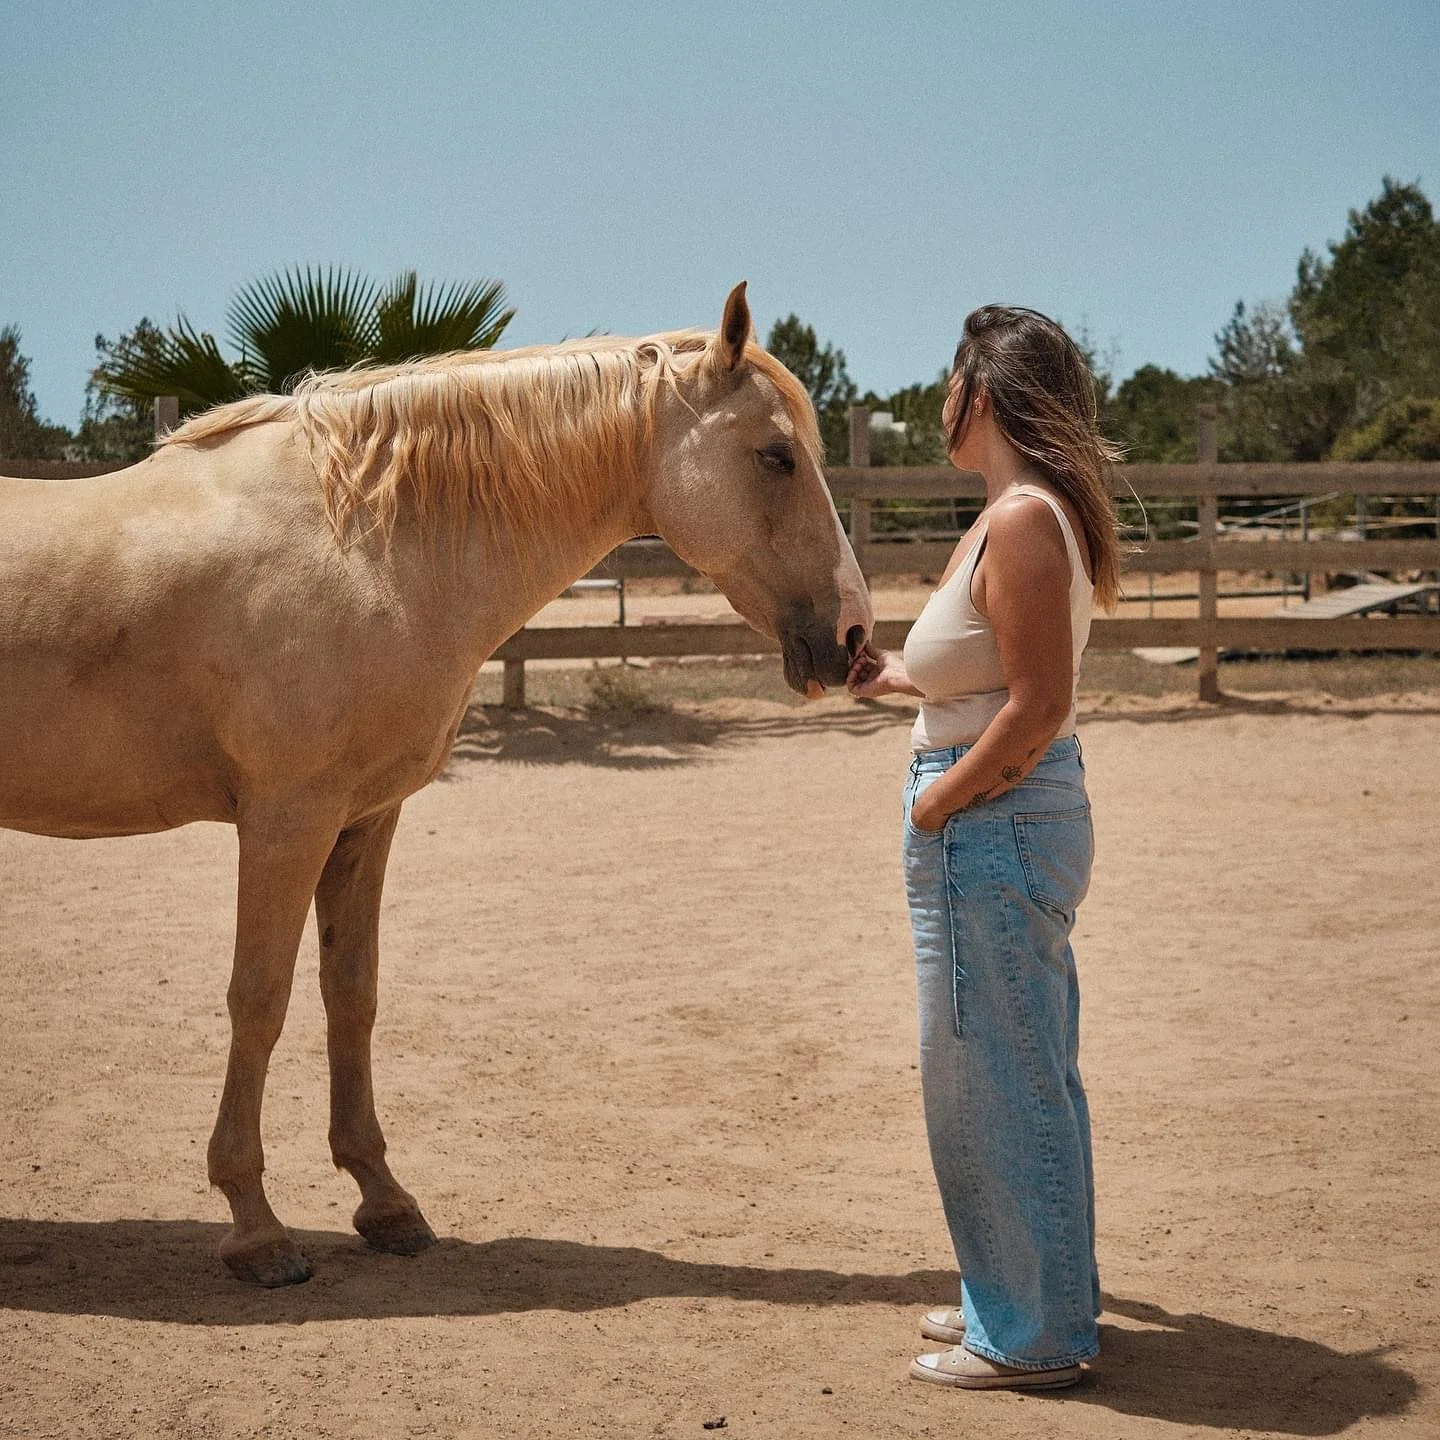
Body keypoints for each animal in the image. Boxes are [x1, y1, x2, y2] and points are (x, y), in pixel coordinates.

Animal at [0, 283, 872, 1286]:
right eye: (776, 456)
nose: (854, 639)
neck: (357, 544)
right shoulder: (286, 822)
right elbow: (259, 998)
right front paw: (257, 1228)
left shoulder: (363, 819)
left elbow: (352, 994)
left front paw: (384, 1201)